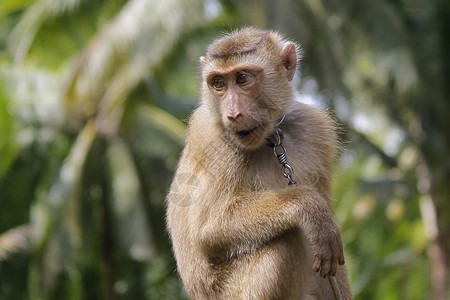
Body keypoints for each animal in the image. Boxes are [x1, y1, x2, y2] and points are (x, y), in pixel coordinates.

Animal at [165, 27, 352, 298]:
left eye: (242, 78)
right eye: (218, 83)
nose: (233, 114)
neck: (271, 140)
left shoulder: (316, 128)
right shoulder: (211, 136)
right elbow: (210, 227)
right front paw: (310, 206)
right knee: (286, 239)